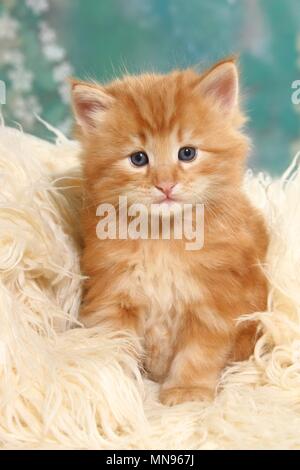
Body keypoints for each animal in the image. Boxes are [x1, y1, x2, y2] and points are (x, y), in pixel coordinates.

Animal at [70, 57, 268, 404]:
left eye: (187, 153)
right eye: (138, 158)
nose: (165, 185)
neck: (163, 237)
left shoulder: (213, 306)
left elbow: (198, 355)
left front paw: (187, 392)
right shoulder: (113, 298)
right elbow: (115, 347)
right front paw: (116, 388)